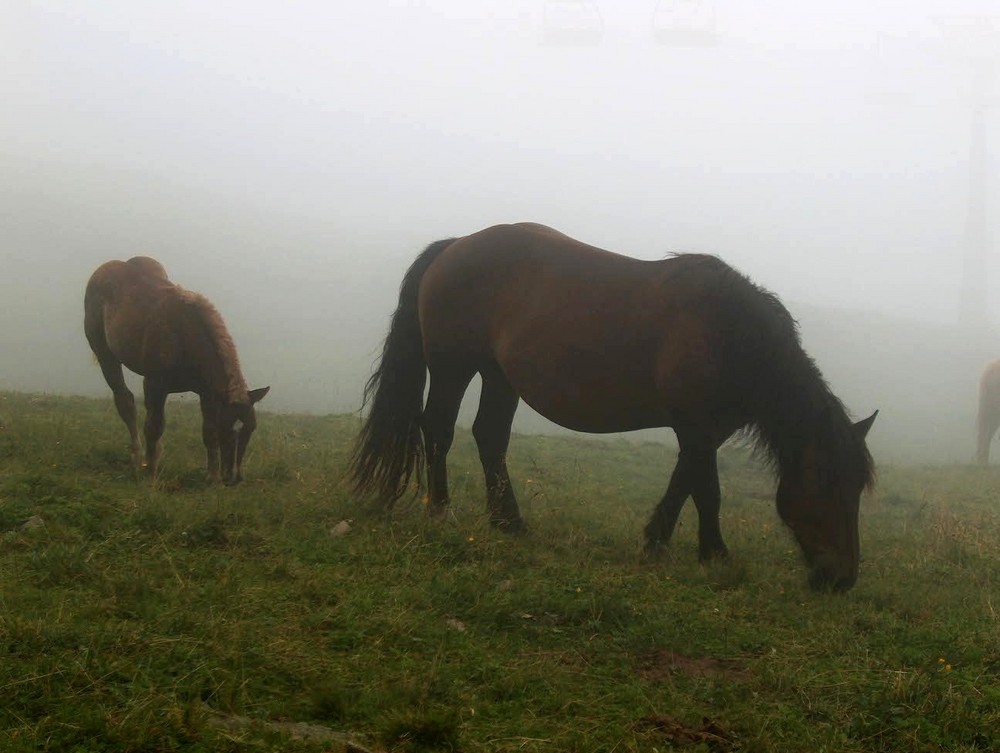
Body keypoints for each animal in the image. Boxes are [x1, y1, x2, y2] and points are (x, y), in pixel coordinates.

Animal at [84, 258, 270, 482]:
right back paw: (138, 458)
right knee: (125, 402)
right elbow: (154, 426)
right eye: (231, 427)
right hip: (105, 354)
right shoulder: (154, 384)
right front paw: (151, 474)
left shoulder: (208, 393)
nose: (235, 478)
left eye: (252, 429)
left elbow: (208, 432)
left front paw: (212, 478)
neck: (185, 341)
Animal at [350, 220, 876, 592]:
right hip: (454, 367)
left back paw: (509, 522)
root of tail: (454, 245)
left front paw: (666, 543)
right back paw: (441, 511)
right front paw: (708, 554)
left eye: (857, 489)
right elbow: (706, 490)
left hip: (500, 376)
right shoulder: (696, 426)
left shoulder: (705, 431)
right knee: (438, 428)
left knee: (490, 436)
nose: (841, 579)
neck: (727, 335)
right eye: (829, 485)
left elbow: (686, 483)